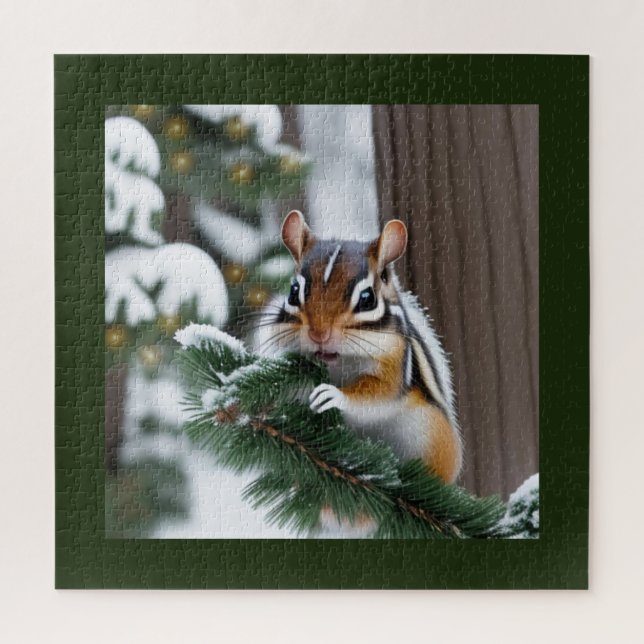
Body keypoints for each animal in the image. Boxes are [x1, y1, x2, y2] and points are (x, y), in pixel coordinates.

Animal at [252, 210, 463, 533]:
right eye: (294, 291)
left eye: (367, 298)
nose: (319, 334)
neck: (339, 362)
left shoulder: (395, 362)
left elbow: (378, 395)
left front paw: (333, 396)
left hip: (433, 437)